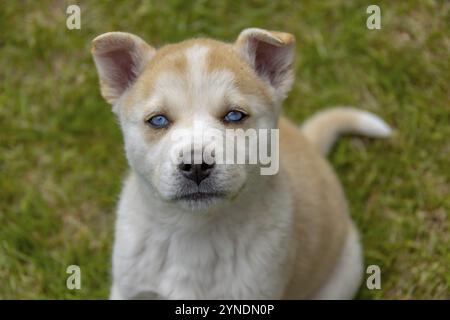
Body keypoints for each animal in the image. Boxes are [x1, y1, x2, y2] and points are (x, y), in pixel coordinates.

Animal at [90, 27, 390, 300]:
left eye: (234, 115)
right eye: (158, 120)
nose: (196, 165)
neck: (194, 231)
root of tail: (311, 144)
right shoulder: (128, 290)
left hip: (344, 272)